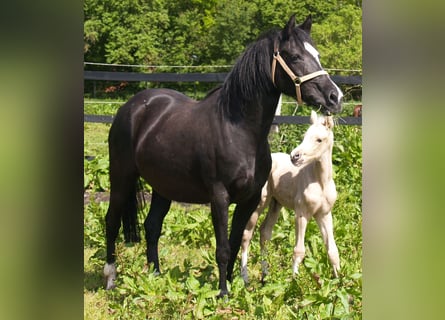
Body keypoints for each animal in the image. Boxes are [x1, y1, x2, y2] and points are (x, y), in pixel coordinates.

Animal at [241, 110, 338, 282]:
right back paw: (245, 279)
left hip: (275, 203)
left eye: (319, 139)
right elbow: (299, 250)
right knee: (247, 235)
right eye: (305, 135)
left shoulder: (324, 214)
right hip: (259, 203)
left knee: (264, 232)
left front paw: (341, 282)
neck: (320, 182)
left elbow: (333, 250)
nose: (295, 156)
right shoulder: (302, 213)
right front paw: (294, 283)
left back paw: (265, 276)